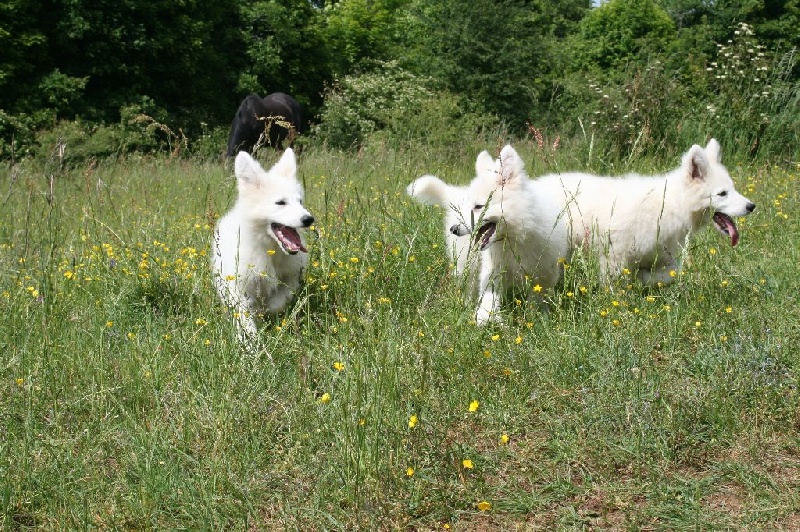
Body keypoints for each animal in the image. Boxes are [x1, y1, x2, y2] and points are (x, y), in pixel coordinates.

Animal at [212, 149, 316, 340]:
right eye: (280, 202)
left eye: (300, 202)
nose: (309, 219)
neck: (269, 249)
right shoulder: (237, 286)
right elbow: (244, 317)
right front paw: (250, 342)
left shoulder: (291, 278)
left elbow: (278, 301)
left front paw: (264, 312)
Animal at [454, 143, 572, 324]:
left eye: (479, 206)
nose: (453, 229)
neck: (514, 237)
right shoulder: (493, 269)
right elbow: (488, 294)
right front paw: (485, 317)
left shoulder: (543, 273)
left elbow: (537, 298)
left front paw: (537, 317)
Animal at [536, 139, 756, 284]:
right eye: (722, 193)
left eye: (733, 189)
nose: (751, 206)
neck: (673, 204)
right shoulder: (614, 255)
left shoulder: (664, 256)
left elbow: (670, 273)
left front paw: (643, 278)